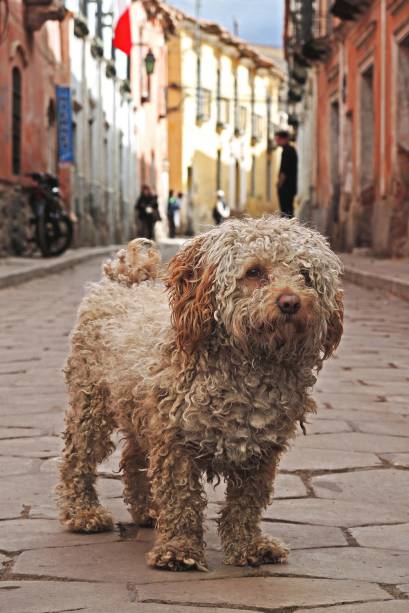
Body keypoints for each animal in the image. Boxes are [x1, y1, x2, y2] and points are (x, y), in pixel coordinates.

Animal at [57, 215, 342, 568]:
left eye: (306, 275)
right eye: (254, 272)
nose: (290, 302)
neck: (250, 366)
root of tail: (127, 279)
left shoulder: (261, 449)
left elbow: (246, 503)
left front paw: (249, 546)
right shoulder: (174, 440)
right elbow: (181, 497)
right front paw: (179, 550)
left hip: (140, 409)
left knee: (132, 457)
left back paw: (147, 511)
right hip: (91, 403)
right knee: (78, 458)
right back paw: (83, 513)